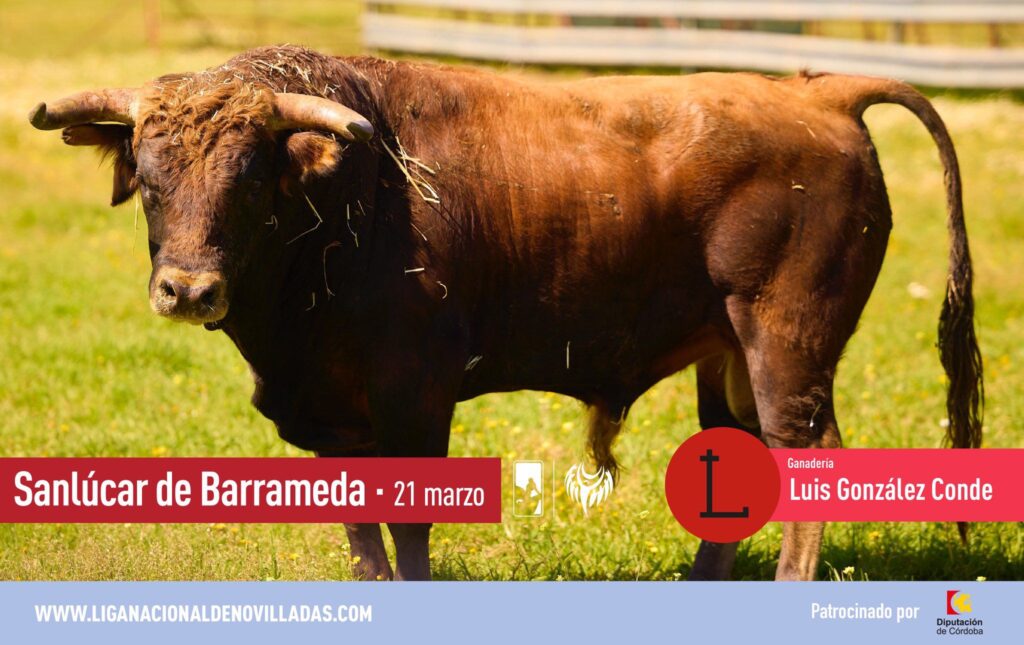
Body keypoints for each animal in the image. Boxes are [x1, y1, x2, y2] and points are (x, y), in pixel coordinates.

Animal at [30, 45, 982, 581]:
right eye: (150, 178)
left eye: (251, 180)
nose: (188, 289)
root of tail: (817, 92)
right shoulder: (336, 416)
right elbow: (362, 529)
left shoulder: (415, 397)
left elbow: (409, 526)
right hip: (730, 359)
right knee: (739, 459)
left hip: (786, 347)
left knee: (805, 457)